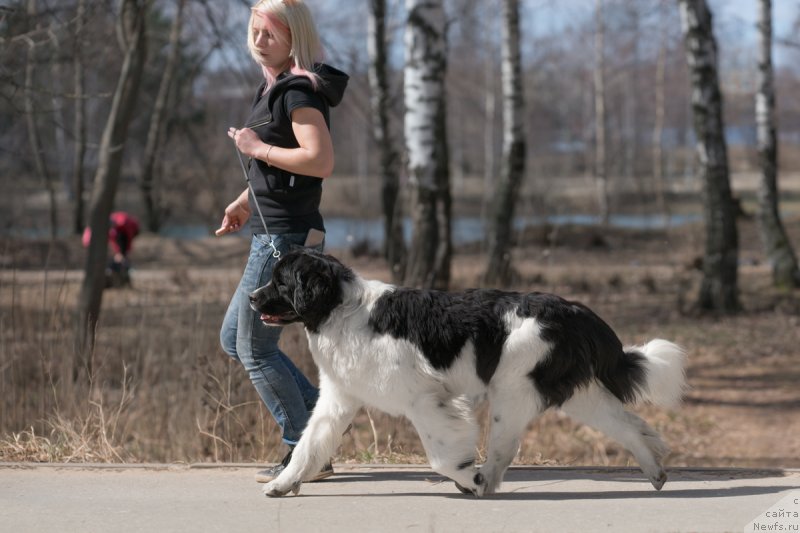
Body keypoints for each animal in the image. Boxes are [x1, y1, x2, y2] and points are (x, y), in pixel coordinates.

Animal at [252, 248, 688, 494]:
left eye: (279, 281)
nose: (253, 297)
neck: (342, 309)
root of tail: (571, 309)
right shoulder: (338, 400)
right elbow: (308, 446)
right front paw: (282, 484)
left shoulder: (425, 401)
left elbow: (442, 457)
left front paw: (467, 478)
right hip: (575, 395)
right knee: (629, 426)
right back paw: (655, 472)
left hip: (511, 391)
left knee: (504, 448)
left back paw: (483, 483)